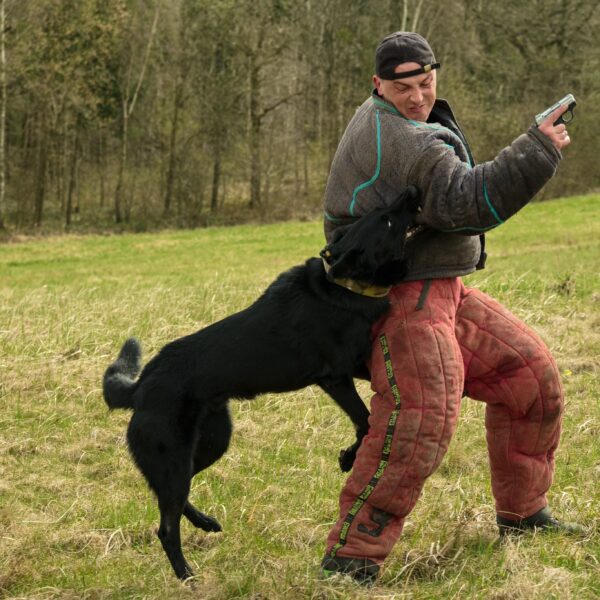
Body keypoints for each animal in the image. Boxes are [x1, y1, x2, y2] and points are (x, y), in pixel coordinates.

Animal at [102, 186, 421, 580]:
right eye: (387, 220)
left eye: (382, 211)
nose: (412, 191)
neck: (343, 284)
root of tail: (140, 387)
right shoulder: (334, 377)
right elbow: (365, 420)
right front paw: (349, 457)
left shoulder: (356, 367)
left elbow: (366, 419)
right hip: (173, 454)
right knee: (166, 526)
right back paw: (187, 575)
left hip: (210, 443)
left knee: (170, 497)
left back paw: (205, 523)